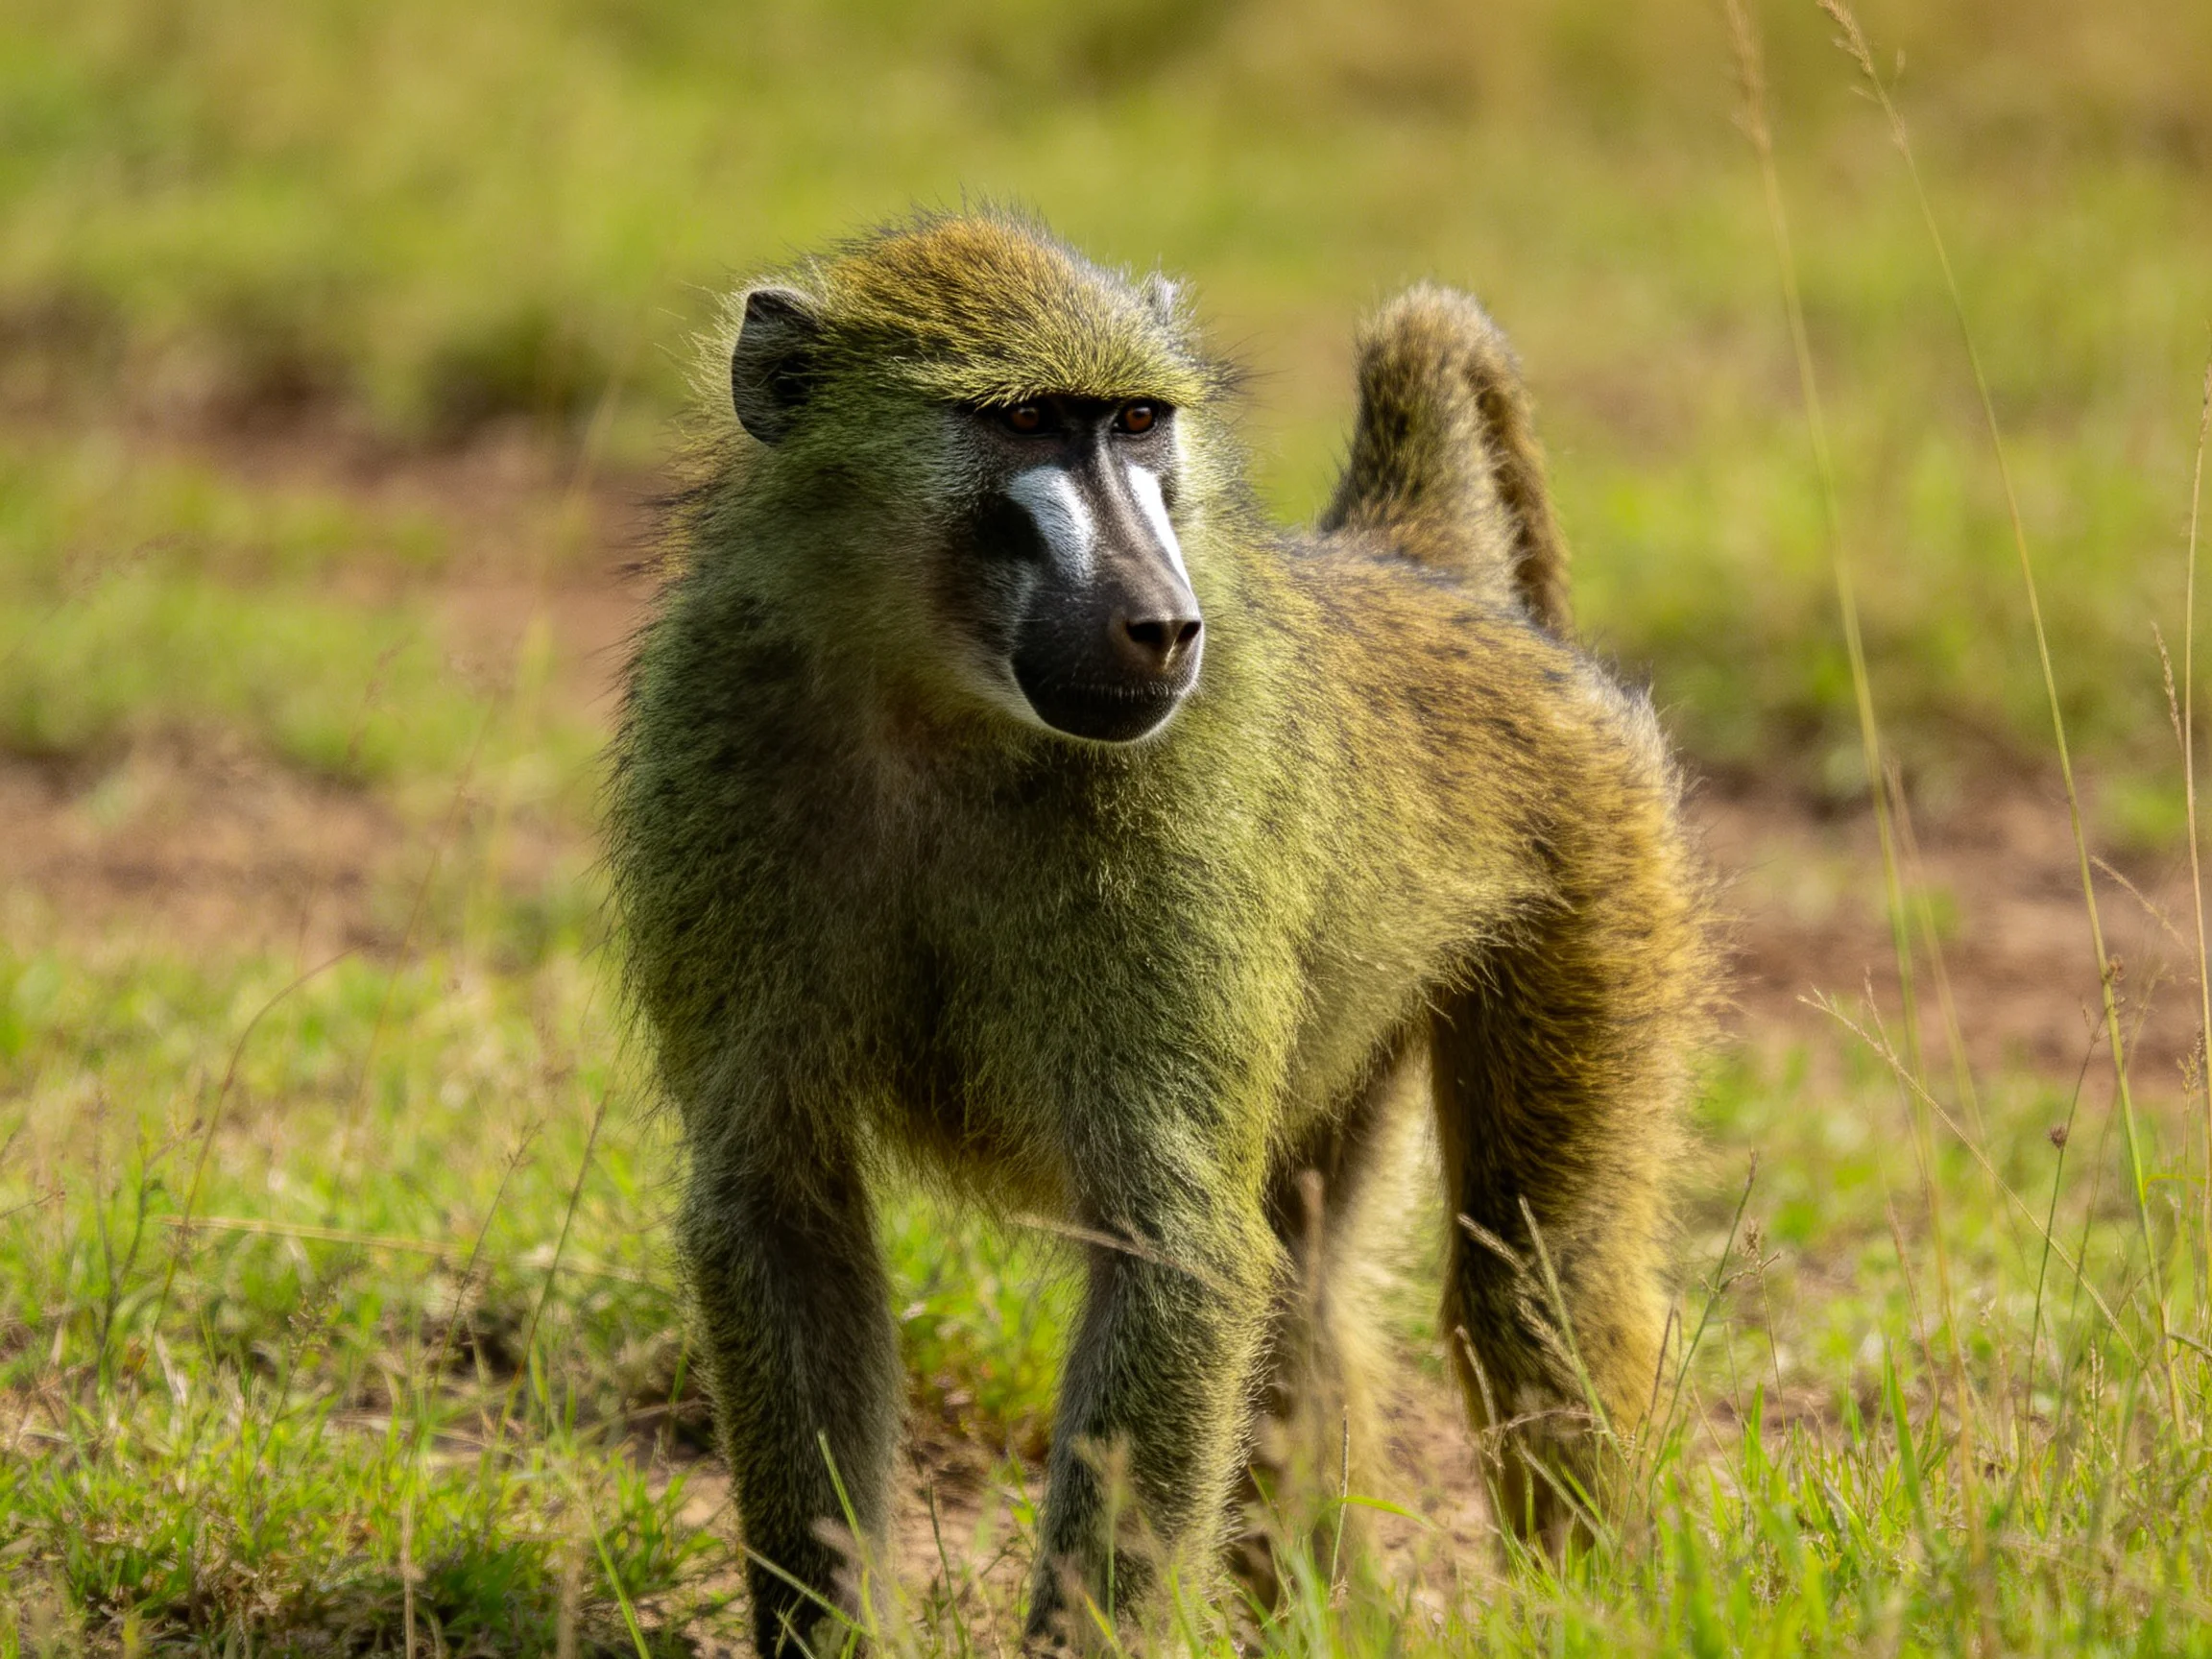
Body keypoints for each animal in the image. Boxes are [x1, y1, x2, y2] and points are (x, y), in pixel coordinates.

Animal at [606, 210, 1710, 1654]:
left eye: (1135, 422)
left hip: (1602, 863)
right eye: (1026, 423)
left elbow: (1178, 1253)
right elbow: (781, 1212)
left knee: (1534, 1276)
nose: (1165, 625)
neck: (937, 707)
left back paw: (1593, 1604)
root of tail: (1424, 583)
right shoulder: (716, 748)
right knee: (1308, 1298)